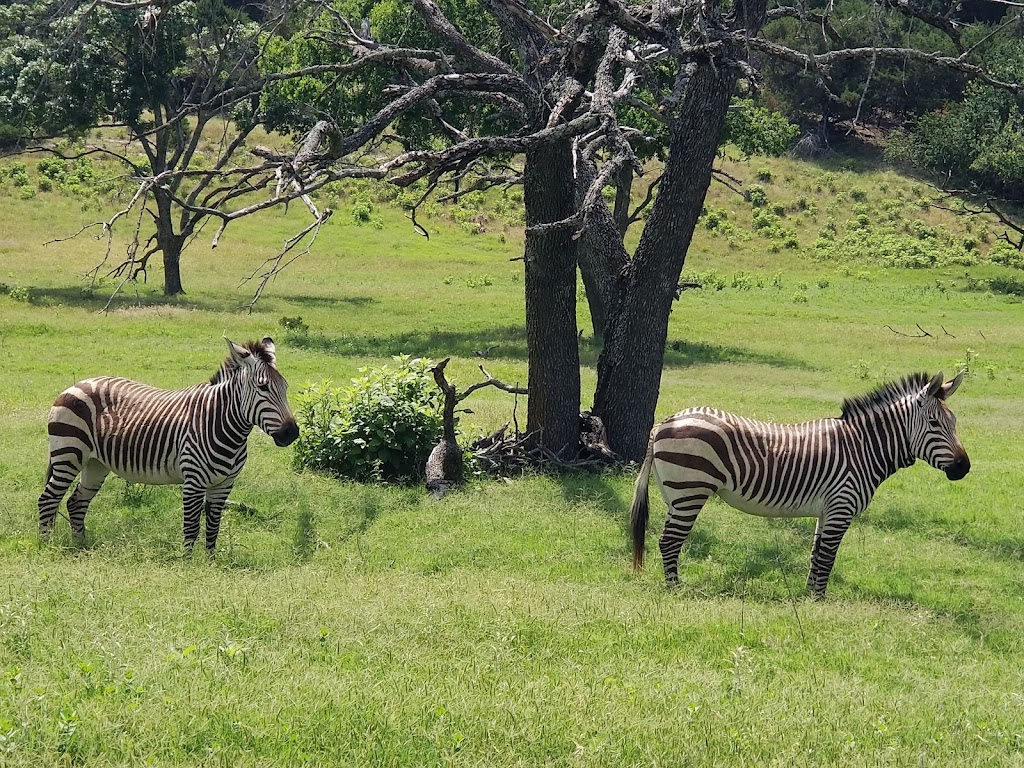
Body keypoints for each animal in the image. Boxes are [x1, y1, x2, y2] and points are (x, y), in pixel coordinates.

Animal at [37, 337, 299, 552]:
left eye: (285, 387)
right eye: (262, 387)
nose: (291, 433)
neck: (221, 424)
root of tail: (77, 384)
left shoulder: (224, 484)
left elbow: (213, 526)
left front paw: (210, 561)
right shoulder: (194, 481)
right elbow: (191, 527)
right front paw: (188, 565)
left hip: (95, 463)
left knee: (75, 502)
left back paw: (80, 545)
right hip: (68, 454)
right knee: (48, 499)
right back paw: (46, 546)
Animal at [626, 372, 970, 602]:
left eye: (955, 424)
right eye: (935, 424)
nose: (964, 468)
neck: (862, 448)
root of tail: (665, 422)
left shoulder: (828, 510)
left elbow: (816, 554)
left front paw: (809, 596)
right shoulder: (841, 507)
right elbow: (828, 556)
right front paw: (820, 601)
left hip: (676, 494)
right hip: (690, 491)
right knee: (669, 541)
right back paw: (675, 588)